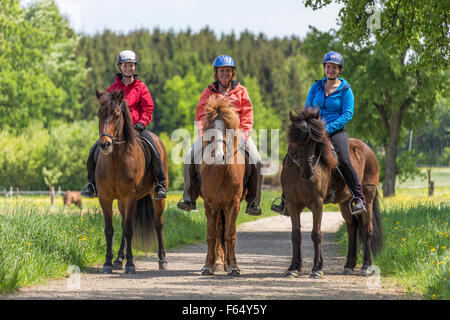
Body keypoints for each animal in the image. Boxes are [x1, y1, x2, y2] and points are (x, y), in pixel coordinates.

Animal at [95, 90, 169, 276]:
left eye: (116, 115)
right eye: (99, 114)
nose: (105, 144)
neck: (115, 160)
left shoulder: (130, 198)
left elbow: (129, 230)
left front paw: (130, 264)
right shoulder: (105, 199)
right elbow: (110, 230)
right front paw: (108, 263)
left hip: (157, 198)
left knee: (158, 223)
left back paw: (162, 260)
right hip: (121, 202)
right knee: (122, 225)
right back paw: (118, 260)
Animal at [200, 94, 246, 276]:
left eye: (228, 128)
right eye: (210, 128)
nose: (219, 156)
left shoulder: (233, 204)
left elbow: (230, 234)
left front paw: (233, 266)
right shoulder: (210, 205)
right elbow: (212, 234)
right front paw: (208, 266)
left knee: (224, 230)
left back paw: (225, 263)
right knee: (219, 229)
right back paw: (218, 263)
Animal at [282, 107, 384, 278]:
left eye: (313, 142)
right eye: (297, 140)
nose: (308, 172)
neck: (298, 173)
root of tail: (368, 149)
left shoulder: (317, 203)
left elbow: (316, 234)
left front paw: (317, 268)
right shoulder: (292, 204)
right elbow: (295, 235)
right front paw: (293, 268)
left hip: (368, 199)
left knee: (366, 229)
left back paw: (366, 266)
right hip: (345, 202)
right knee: (351, 228)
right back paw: (349, 265)